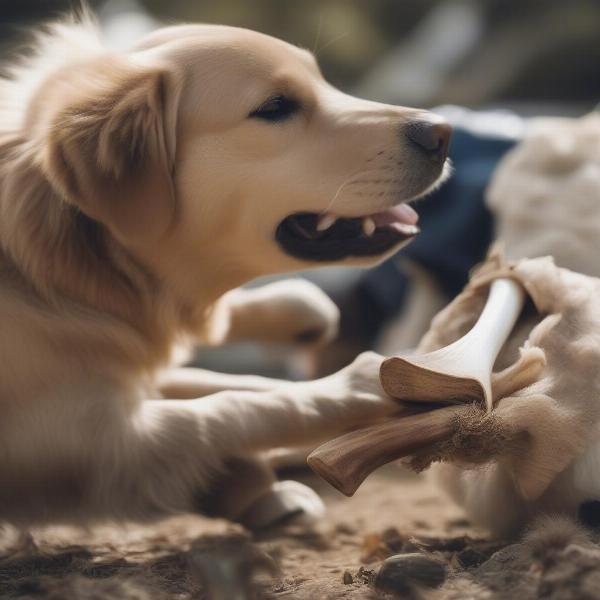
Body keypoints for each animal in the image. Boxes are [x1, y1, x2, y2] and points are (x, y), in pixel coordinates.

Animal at [0, 16, 450, 528]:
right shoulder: (89, 440)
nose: (442, 132)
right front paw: (357, 384)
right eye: (274, 107)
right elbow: (228, 408)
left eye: (322, 79)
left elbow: (244, 385)